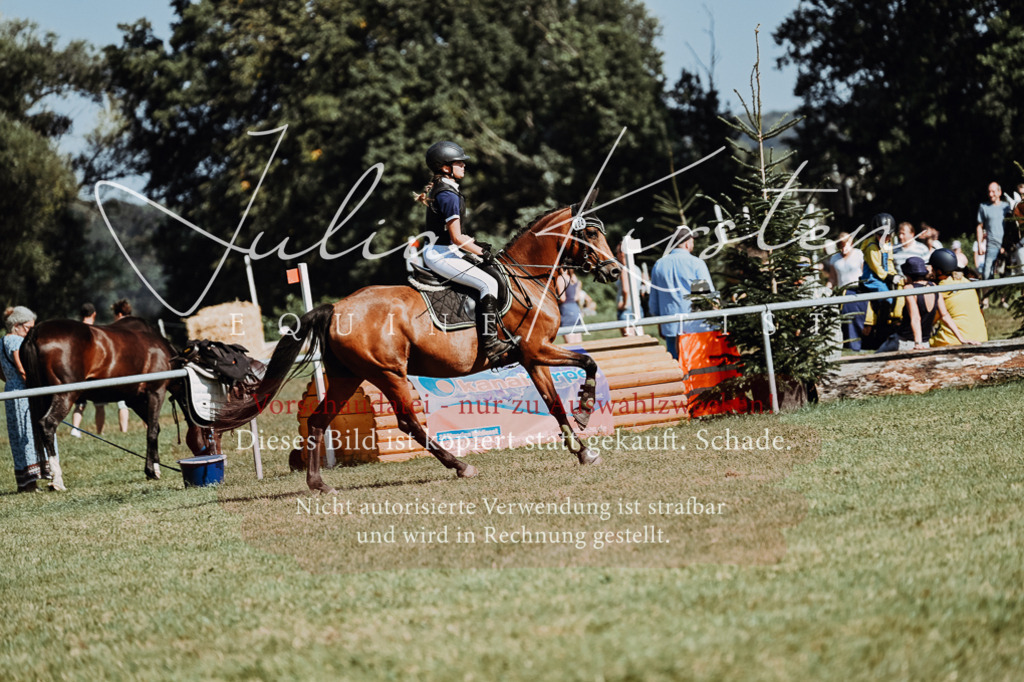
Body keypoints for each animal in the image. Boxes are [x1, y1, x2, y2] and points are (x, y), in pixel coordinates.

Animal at [214, 189, 620, 493]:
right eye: (590, 234)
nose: (615, 271)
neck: (529, 278)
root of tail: (337, 308)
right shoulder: (538, 349)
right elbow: (588, 362)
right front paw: (586, 410)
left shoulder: (532, 358)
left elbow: (554, 403)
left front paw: (582, 451)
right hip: (388, 373)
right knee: (409, 422)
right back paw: (460, 466)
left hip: (347, 375)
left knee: (318, 420)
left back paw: (319, 484)